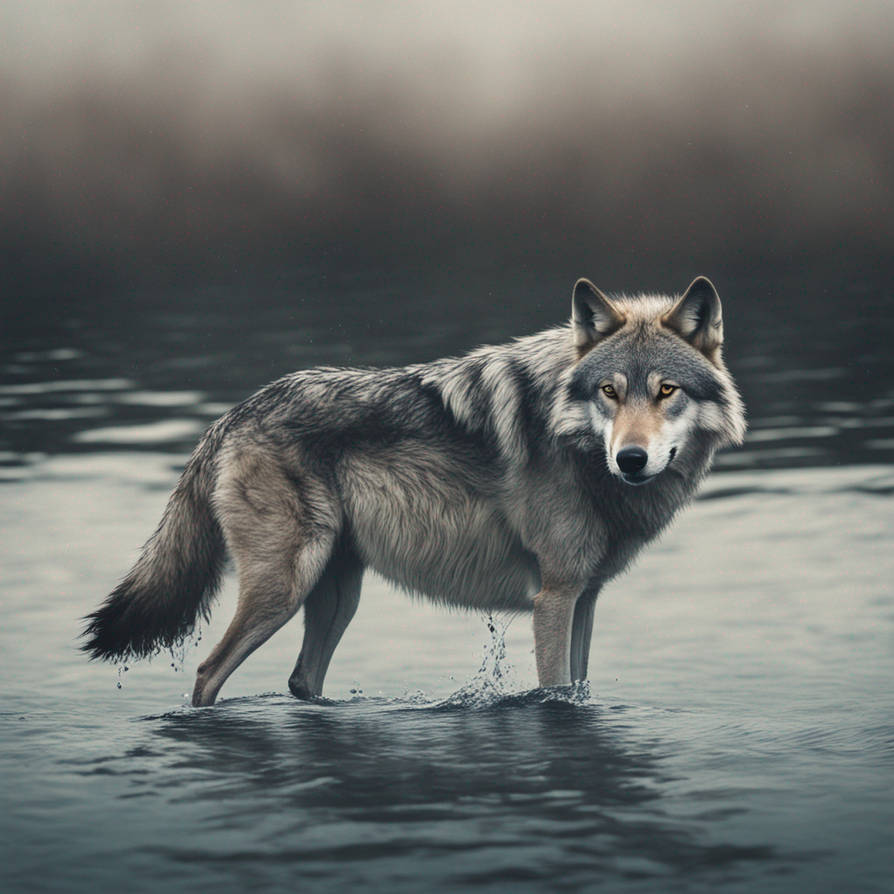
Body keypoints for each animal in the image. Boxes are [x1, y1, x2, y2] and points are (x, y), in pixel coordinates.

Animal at [83, 276, 745, 706]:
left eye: (665, 391)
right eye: (610, 391)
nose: (630, 459)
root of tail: (234, 414)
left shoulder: (586, 597)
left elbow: (580, 690)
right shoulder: (554, 598)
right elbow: (556, 690)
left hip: (338, 594)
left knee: (301, 680)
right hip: (283, 589)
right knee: (206, 672)